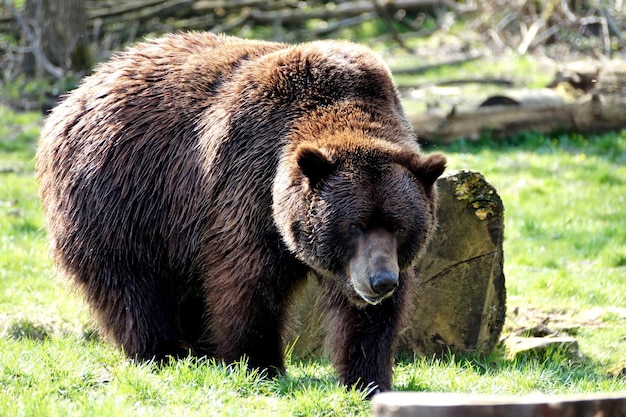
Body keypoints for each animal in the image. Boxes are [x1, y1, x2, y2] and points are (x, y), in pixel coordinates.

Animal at [36, 32, 444, 394]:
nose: (381, 281)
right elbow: (249, 284)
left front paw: (367, 378)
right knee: (130, 284)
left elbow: (370, 320)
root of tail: (81, 89)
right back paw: (161, 352)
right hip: (121, 196)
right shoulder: (246, 189)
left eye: (400, 227)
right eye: (354, 225)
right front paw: (260, 364)